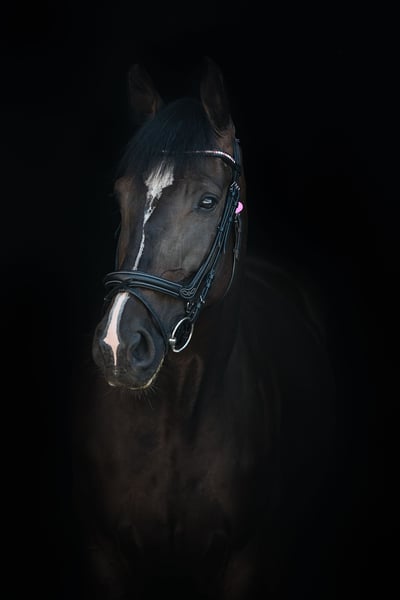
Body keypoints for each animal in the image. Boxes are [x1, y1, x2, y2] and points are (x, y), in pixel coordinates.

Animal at [73, 58, 336, 599]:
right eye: (121, 196)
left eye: (208, 201)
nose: (117, 345)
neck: (174, 421)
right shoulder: (104, 555)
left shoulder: (247, 562)